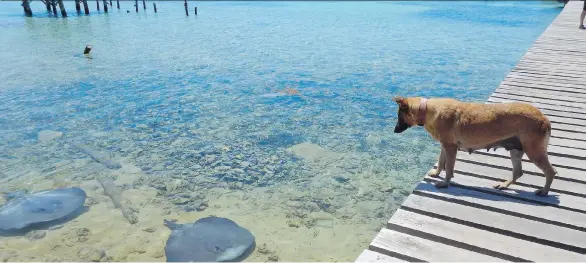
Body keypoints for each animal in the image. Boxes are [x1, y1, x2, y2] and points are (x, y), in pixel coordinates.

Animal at [390, 96, 556, 197]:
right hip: (516, 150)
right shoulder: (445, 146)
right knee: (518, 172)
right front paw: (437, 173)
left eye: (399, 116)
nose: (394, 130)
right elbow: (442, 162)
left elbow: (449, 168)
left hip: (534, 152)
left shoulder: (450, 148)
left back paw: (544, 192)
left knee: (550, 171)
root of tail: (544, 118)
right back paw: (504, 185)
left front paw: (445, 183)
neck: (427, 110)